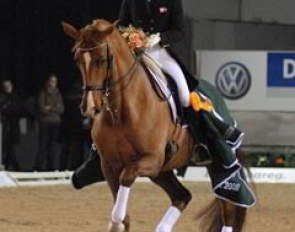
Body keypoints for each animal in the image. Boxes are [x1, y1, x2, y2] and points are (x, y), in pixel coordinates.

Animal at [63, 19, 249, 232]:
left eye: (101, 59)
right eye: (77, 59)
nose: (89, 107)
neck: (122, 113)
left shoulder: (151, 159)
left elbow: (126, 181)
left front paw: (115, 221)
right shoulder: (109, 165)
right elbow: (123, 212)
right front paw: (118, 223)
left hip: (217, 163)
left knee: (228, 205)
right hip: (163, 170)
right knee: (182, 196)